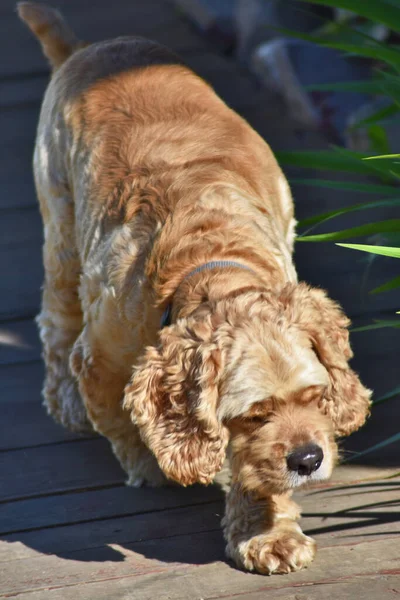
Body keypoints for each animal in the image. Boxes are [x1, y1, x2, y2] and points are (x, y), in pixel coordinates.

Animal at [17, 2, 370, 576]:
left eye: (315, 396)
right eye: (254, 413)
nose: (309, 459)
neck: (209, 261)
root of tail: (90, 49)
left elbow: (256, 472)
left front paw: (266, 532)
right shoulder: (102, 356)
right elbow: (116, 414)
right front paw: (148, 461)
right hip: (62, 221)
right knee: (56, 314)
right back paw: (65, 401)